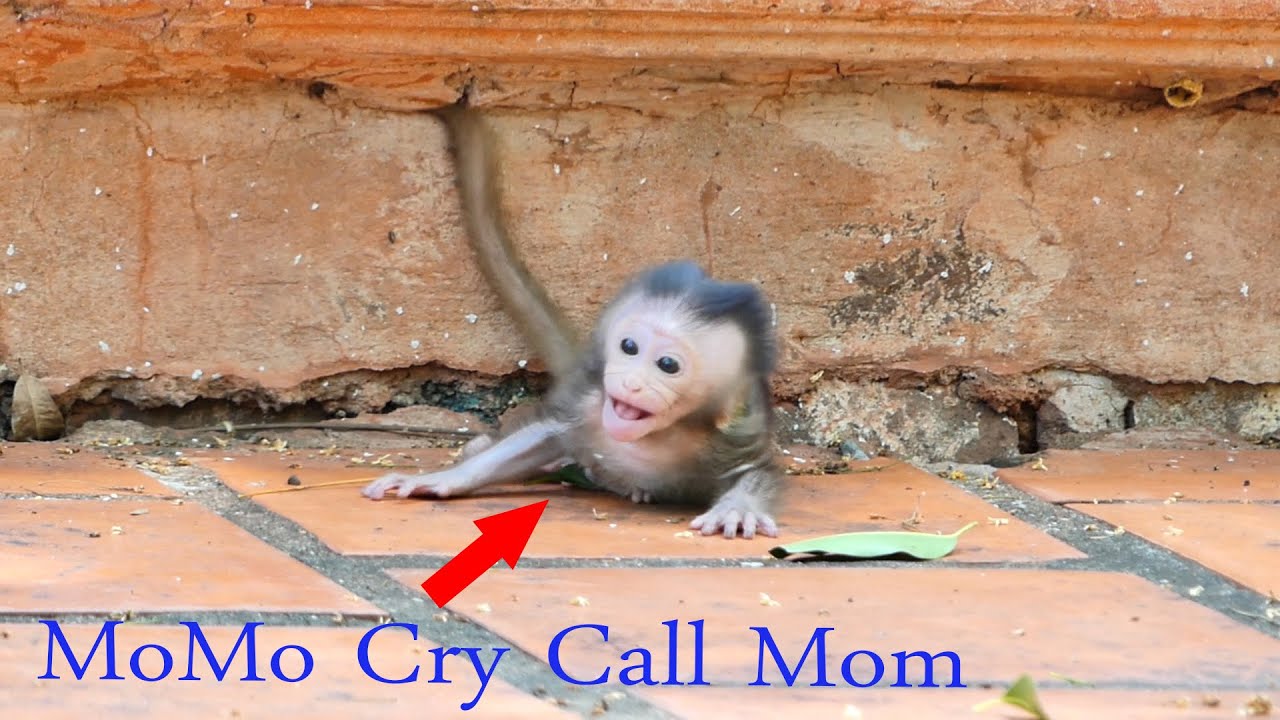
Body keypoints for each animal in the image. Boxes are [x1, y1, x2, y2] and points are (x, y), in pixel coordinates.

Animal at [362, 106, 781, 539]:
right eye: (629, 347)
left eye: (668, 364)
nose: (632, 382)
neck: (658, 435)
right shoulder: (588, 402)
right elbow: (545, 435)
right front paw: (443, 478)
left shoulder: (738, 432)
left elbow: (757, 473)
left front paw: (738, 508)